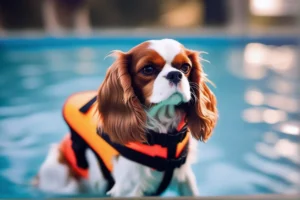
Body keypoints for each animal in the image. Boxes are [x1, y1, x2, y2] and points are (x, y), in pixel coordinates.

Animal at [33, 38, 218, 197]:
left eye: (185, 67)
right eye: (148, 69)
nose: (175, 74)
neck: (163, 133)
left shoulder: (185, 178)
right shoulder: (128, 188)